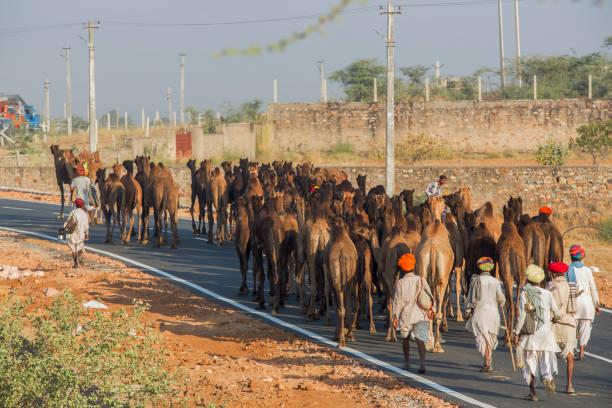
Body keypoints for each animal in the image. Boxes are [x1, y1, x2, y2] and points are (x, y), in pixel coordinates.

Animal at [322, 217, 360, 348]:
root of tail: (342, 255)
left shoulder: (328, 275)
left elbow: (334, 302)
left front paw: (336, 334)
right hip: (348, 281)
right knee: (347, 307)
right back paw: (347, 338)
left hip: (336, 281)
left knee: (340, 307)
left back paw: (340, 340)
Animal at [494, 207, 528, 338]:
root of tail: (512, 252)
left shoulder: (503, 276)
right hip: (521, 278)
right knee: (518, 306)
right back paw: (516, 337)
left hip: (507, 277)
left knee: (510, 306)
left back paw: (508, 337)